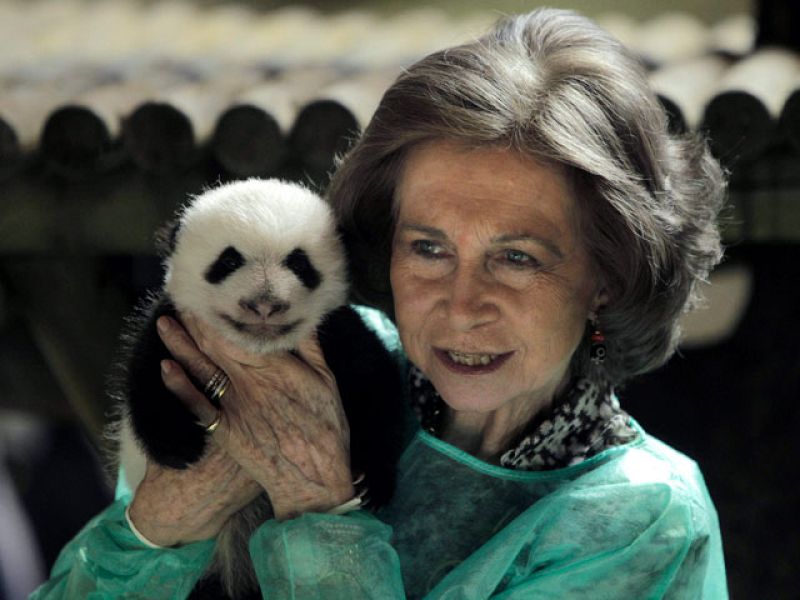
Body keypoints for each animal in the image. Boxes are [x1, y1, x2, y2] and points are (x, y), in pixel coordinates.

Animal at [111, 178, 406, 599]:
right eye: (228, 261)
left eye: (299, 263)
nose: (265, 305)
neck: (259, 349)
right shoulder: (175, 327)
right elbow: (148, 375)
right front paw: (179, 447)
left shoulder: (332, 333)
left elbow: (375, 385)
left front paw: (373, 480)